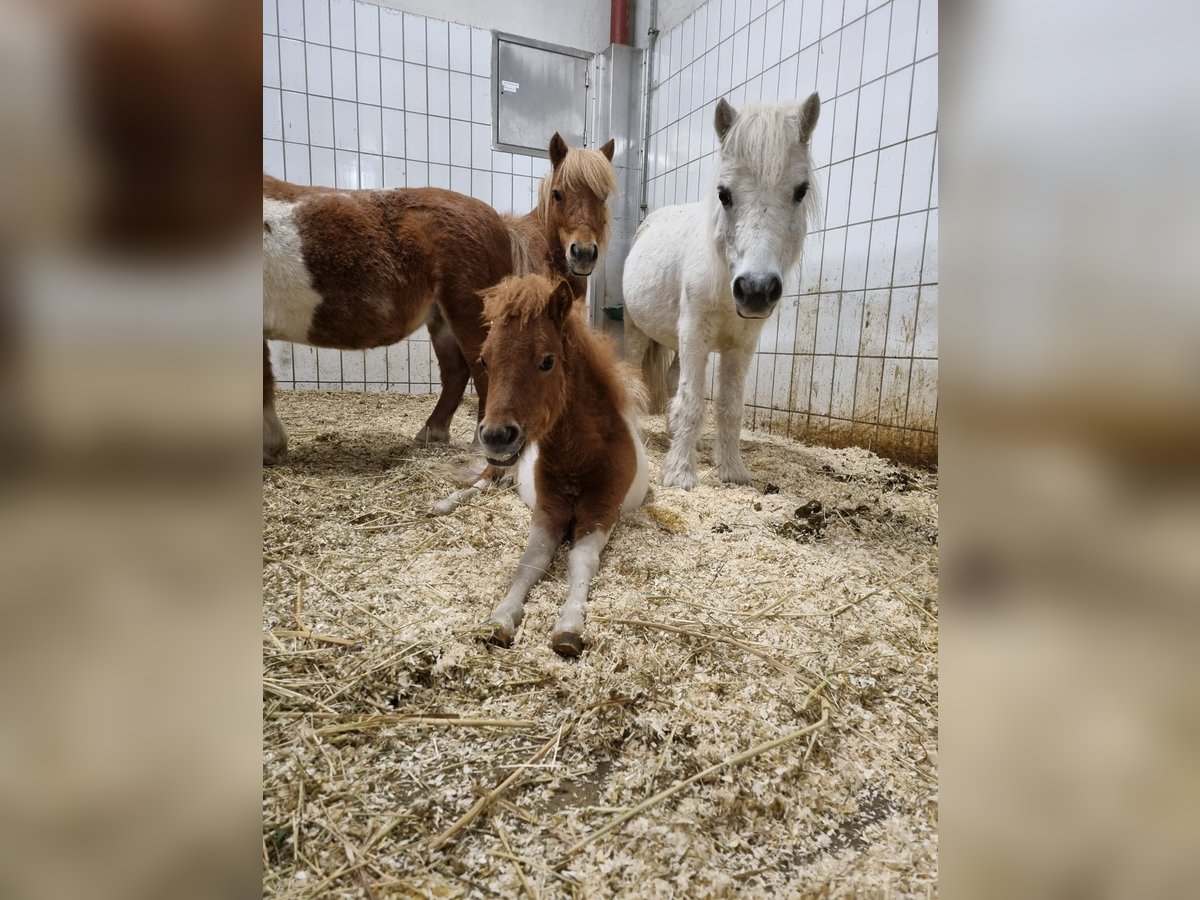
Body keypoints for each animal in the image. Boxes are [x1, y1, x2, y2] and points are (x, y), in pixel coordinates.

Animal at [434, 274, 648, 657]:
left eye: (547, 361)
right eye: (484, 360)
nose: (496, 435)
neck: (581, 461)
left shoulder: (603, 509)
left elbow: (581, 560)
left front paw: (569, 629)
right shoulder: (548, 508)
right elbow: (532, 559)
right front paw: (500, 619)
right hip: (500, 467)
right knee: (481, 482)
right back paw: (443, 504)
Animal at [624, 96, 820, 489]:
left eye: (800, 190)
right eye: (724, 194)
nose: (756, 290)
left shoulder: (740, 347)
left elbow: (729, 408)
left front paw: (731, 470)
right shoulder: (695, 334)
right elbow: (692, 401)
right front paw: (680, 475)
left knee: (673, 380)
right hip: (639, 331)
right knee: (637, 377)